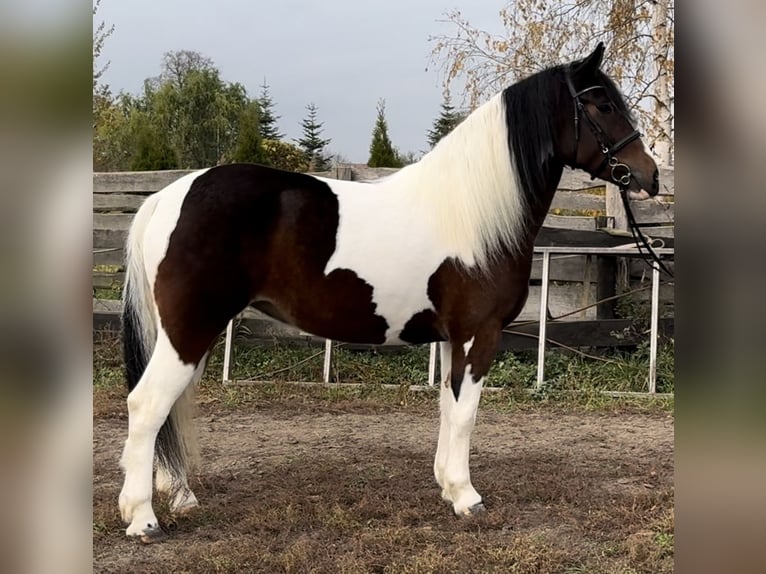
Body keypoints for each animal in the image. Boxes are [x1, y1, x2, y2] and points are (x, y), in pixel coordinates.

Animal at [118, 42, 660, 544]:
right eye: (601, 104)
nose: (650, 176)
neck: (474, 212)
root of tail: (168, 195)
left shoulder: (453, 338)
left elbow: (448, 408)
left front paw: (447, 485)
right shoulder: (478, 334)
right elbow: (466, 414)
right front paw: (467, 498)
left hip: (192, 333)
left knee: (171, 405)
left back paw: (180, 496)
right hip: (190, 330)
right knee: (147, 404)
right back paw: (143, 518)